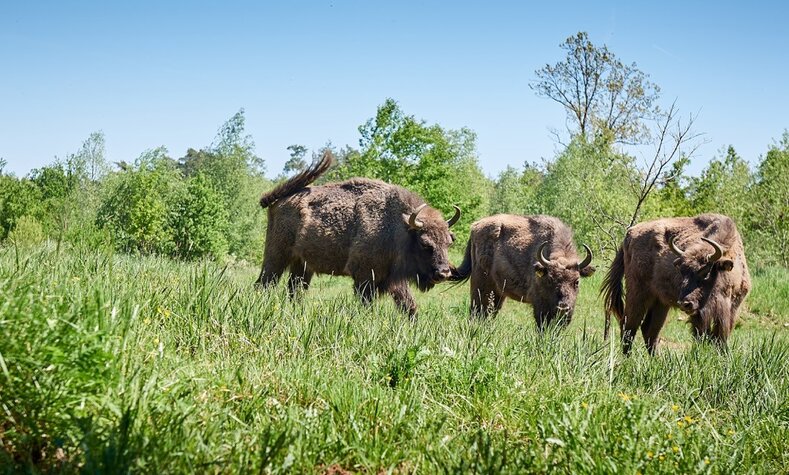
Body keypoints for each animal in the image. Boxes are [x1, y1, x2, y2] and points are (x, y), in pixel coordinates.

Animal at [255, 151, 458, 318]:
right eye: (425, 244)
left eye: (448, 243)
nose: (443, 273)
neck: (398, 225)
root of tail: (277, 201)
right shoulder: (365, 276)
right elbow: (368, 304)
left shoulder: (391, 279)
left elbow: (408, 305)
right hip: (276, 256)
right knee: (265, 283)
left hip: (302, 265)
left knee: (294, 290)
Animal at [446, 216, 596, 330]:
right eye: (550, 280)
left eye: (576, 281)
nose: (563, 307)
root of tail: (475, 227)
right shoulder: (540, 305)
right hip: (481, 287)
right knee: (477, 311)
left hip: (498, 293)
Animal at [600, 214, 748, 356]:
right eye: (682, 271)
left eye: (706, 272)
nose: (685, 304)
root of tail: (629, 234)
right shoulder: (700, 314)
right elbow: (703, 336)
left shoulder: (731, 309)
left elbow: (721, 338)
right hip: (638, 294)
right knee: (629, 326)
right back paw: (628, 358)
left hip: (660, 303)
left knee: (650, 329)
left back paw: (656, 359)